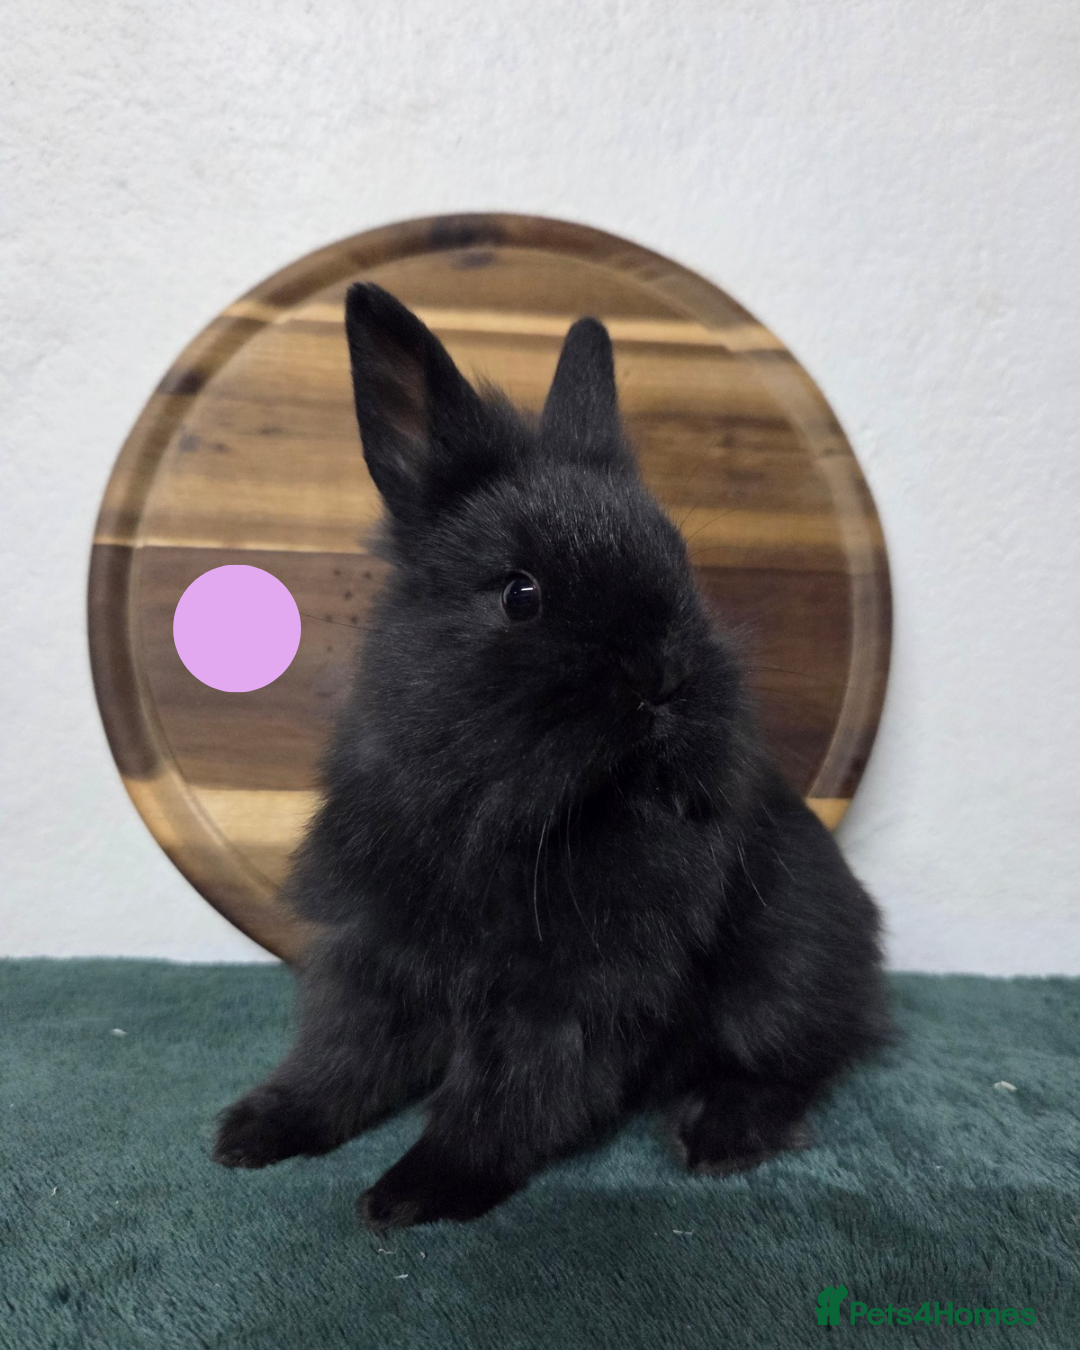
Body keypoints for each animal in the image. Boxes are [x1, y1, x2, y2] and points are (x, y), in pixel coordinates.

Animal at [211, 282, 894, 1228]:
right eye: (520, 594)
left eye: (681, 566)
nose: (663, 678)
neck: (494, 810)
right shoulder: (375, 955)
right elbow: (342, 1056)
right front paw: (257, 1132)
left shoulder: (570, 990)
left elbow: (511, 1092)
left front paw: (414, 1192)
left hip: (785, 972)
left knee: (791, 1062)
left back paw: (718, 1135)